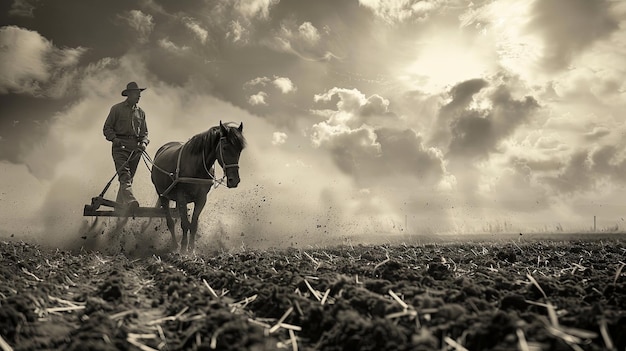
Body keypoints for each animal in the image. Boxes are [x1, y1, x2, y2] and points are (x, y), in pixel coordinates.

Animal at [151, 121, 246, 253]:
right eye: (225, 148)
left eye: (240, 150)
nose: (234, 180)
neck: (196, 166)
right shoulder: (182, 197)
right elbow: (185, 224)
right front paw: (183, 250)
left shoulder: (201, 199)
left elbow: (194, 224)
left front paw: (191, 250)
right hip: (162, 195)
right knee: (170, 222)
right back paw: (175, 245)